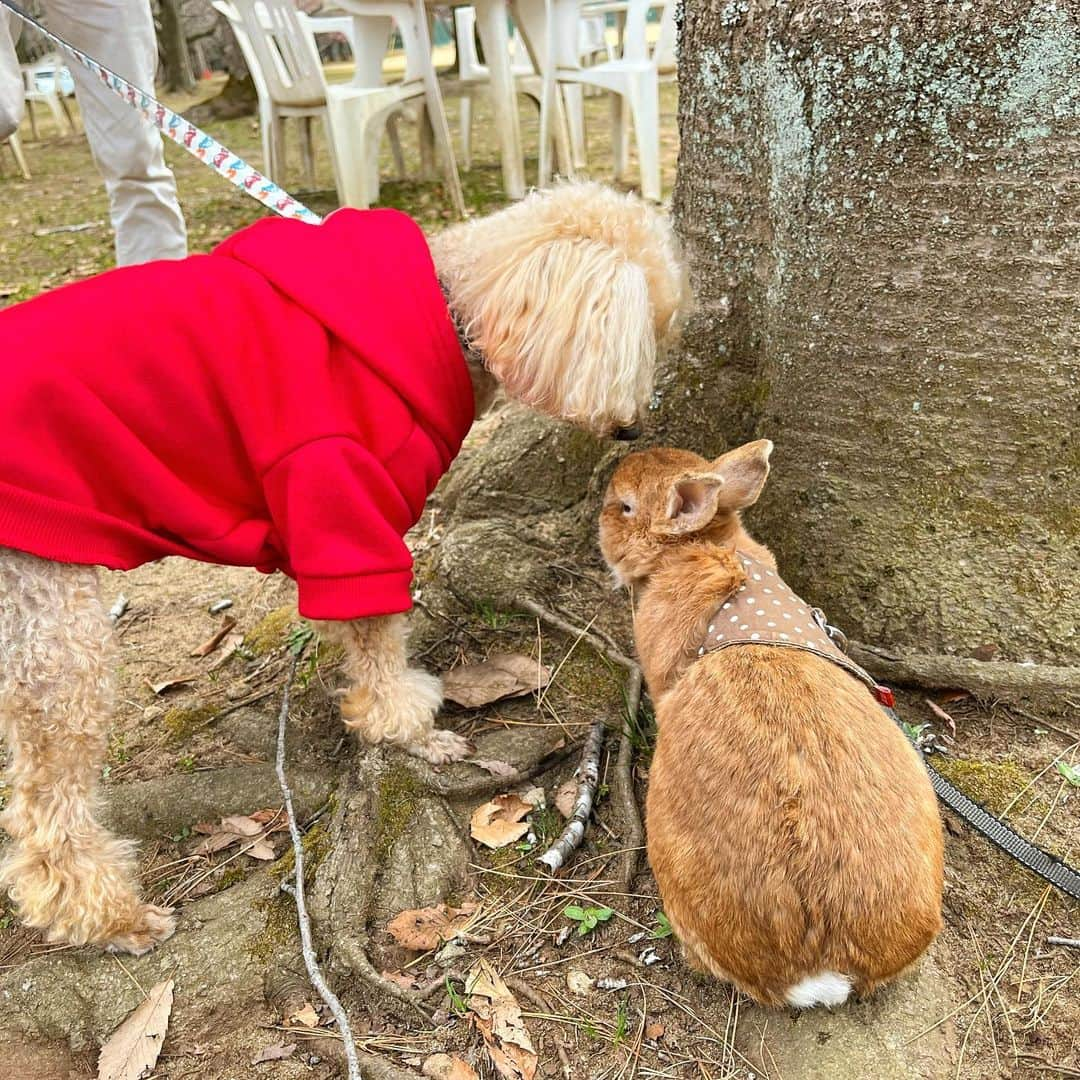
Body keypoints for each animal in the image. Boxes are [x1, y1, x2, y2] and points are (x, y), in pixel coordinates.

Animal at [0, 183, 682, 954]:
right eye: (644, 332)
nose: (633, 427)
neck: (449, 302)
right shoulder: (340, 501)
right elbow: (378, 646)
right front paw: (414, 732)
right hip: (55, 626)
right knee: (46, 801)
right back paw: (106, 914)